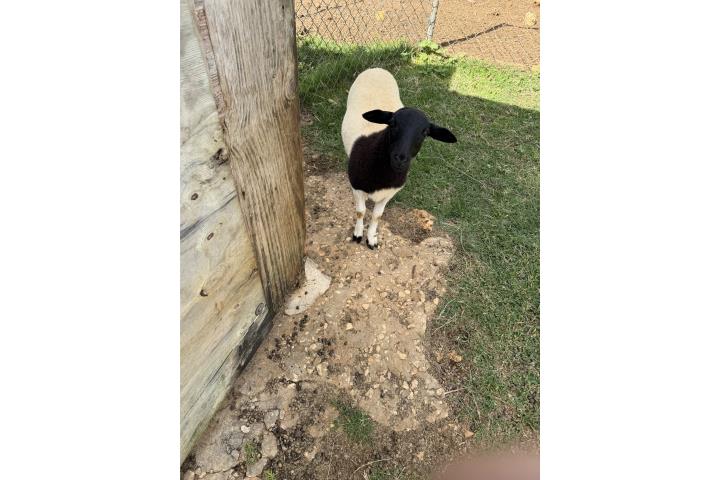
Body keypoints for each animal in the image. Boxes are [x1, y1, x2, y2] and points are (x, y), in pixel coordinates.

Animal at [341, 68, 457, 249]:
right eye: (393, 123)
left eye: (425, 132)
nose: (400, 158)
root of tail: (377, 69)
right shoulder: (356, 186)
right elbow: (361, 212)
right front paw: (358, 234)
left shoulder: (390, 193)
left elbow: (377, 215)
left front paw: (371, 238)